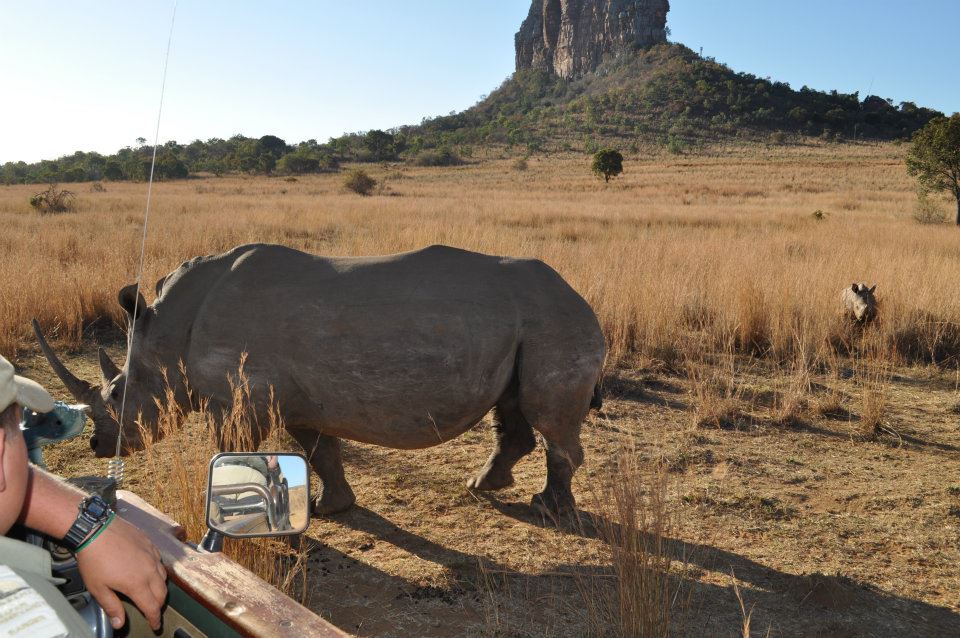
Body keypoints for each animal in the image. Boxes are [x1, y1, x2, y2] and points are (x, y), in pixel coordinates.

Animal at [34, 244, 606, 515]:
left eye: (118, 393)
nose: (98, 444)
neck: (168, 333)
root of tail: (580, 296)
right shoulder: (296, 398)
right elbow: (318, 450)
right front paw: (332, 508)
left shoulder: (240, 397)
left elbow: (235, 451)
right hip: (528, 325)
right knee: (513, 408)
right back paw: (483, 485)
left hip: (554, 320)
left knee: (548, 419)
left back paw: (548, 509)